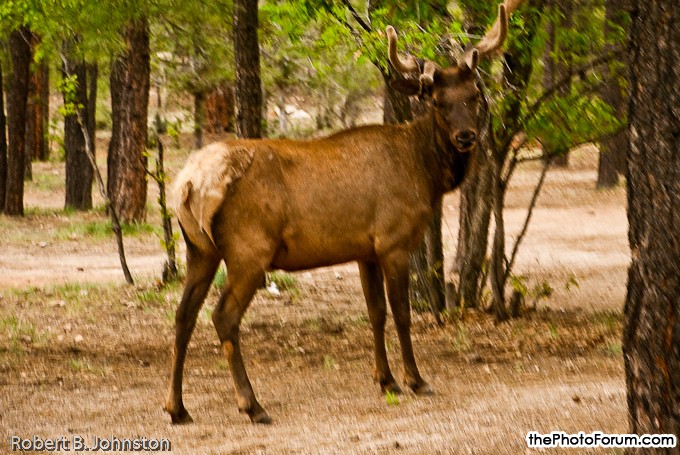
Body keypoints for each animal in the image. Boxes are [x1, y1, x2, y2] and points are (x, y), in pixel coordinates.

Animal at [165, 1, 520, 426]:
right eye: (436, 101)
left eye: (475, 94)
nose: (466, 137)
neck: (424, 173)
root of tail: (188, 185)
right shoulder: (394, 241)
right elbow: (402, 313)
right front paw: (416, 380)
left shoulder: (365, 250)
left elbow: (376, 312)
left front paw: (386, 380)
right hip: (248, 250)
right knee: (223, 317)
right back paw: (252, 405)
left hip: (199, 250)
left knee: (183, 316)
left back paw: (177, 407)